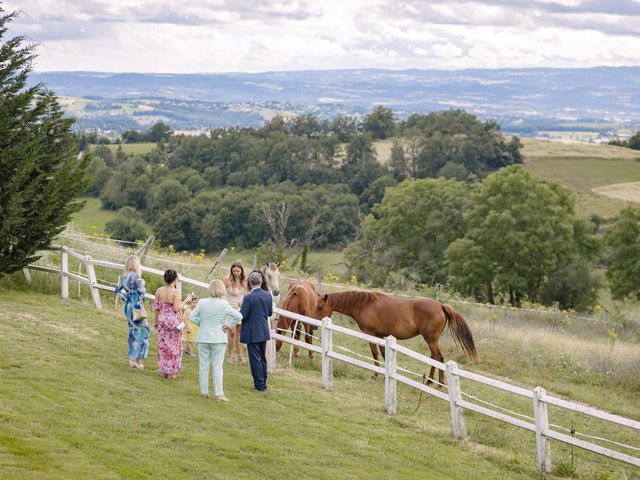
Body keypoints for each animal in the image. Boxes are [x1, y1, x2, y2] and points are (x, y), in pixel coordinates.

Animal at [312, 288, 478, 386]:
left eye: (320, 307)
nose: (313, 325)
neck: (364, 305)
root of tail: (440, 306)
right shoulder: (381, 336)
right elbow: (384, 354)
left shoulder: (371, 334)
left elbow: (375, 354)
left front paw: (375, 375)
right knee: (434, 357)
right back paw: (429, 382)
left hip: (431, 339)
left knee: (438, 357)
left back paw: (437, 384)